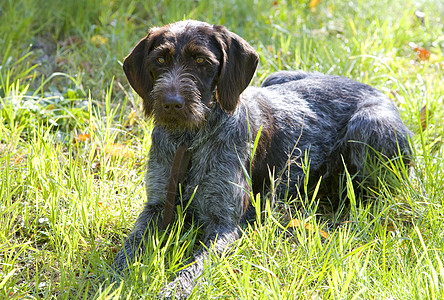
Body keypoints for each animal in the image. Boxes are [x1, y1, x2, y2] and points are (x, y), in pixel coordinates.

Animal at [112, 20, 412, 298]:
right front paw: (116, 276)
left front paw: (175, 289)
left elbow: (196, 266)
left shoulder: (225, 225)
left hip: (369, 125)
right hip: (275, 77)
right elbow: (131, 244)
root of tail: (376, 90)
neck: (188, 141)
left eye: (201, 61)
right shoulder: (157, 206)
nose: (171, 103)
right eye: (160, 59)